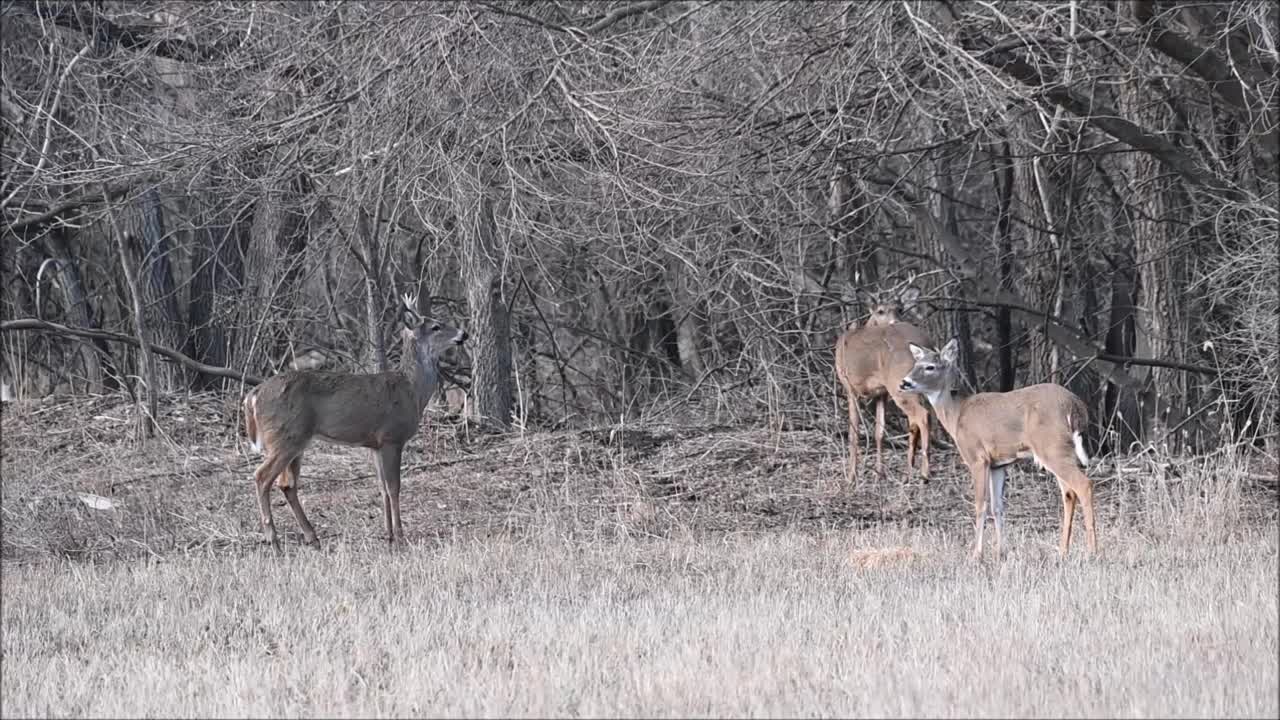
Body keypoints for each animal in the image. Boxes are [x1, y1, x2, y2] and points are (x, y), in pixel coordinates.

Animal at [241, 292, 468, 548]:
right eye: (436, 326)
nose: (464, 334)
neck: (411, 390)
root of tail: (253, 395)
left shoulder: (375, 444)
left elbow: (382, 487)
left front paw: (388, 534)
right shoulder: (392, 437)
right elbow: (394, 487)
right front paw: (400, 536)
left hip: (295, 441)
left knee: (287, 485)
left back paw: (312, 536)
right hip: (284, 437)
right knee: (261, 477)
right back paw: (274, 539)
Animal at [829, 285, 931, 481]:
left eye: (900, 309)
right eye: (880, 311)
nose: (894, 321)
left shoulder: (849, 386)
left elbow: (853, 434)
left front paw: (851, 476)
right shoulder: (881, 393)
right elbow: (879, 433)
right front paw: (879, 473)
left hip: (898, 383)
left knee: (922, 415)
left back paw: (924, 473)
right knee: (916, 420)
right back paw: (909, 470)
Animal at [896, 338, 1095, 558]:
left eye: (930, 367)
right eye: (915, 364)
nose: (904, 382)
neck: (957, 415)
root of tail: (1075, 405)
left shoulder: (977, 457)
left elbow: (980, 504)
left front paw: (976, 554)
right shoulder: (998, 464)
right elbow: (997, 506)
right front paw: (1001, 551)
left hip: (1052, 447)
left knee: (1083, 485)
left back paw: (1093, 551)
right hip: (1058, 450)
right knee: (1068, 493)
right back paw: (1062, 551)